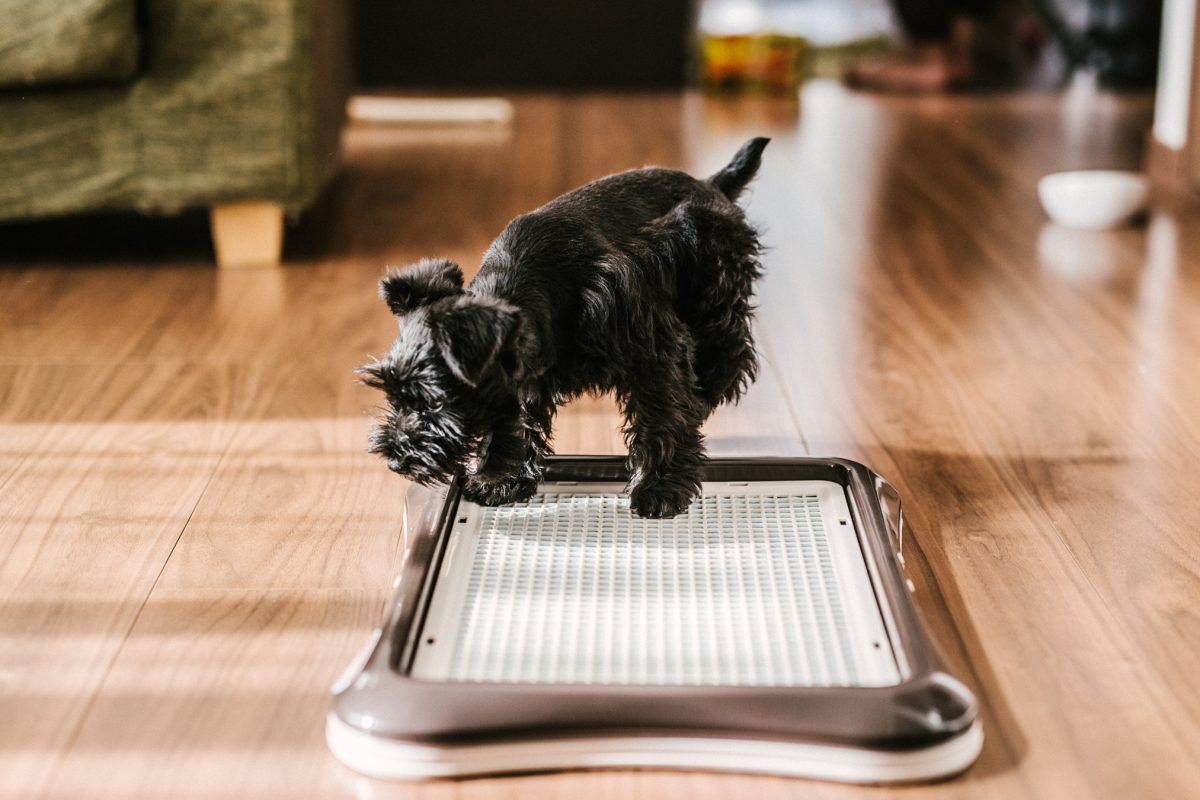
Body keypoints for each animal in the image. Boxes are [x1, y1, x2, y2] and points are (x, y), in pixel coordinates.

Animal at [357, 137, 768, 520]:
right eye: (392, 394)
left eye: (433, 399)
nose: (396, 461)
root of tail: (709, 184)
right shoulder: (531, 379)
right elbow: (524, 423)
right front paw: (506, 482)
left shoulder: (653, 356)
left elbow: (661, 418)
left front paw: (660, 488)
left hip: (714, 287)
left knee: (730, 355)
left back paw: (705, 393)